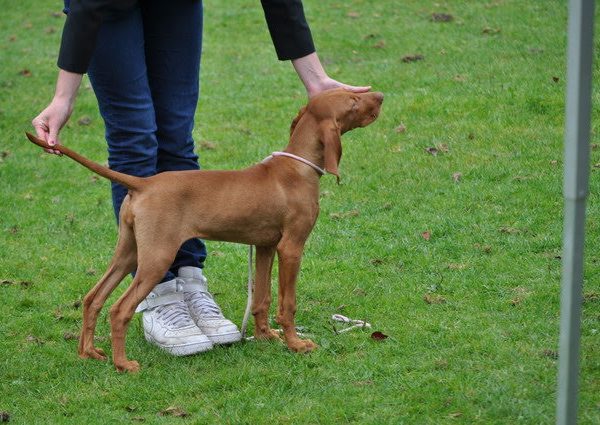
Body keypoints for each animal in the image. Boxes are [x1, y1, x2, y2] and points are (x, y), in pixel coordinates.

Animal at [25, 88, 382, 372]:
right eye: (353, 101)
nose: (378, 95)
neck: (297, 167)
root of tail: (143, 184)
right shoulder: (291, 247)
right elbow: (287, 304)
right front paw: (296, 344)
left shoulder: (266, 247)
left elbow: (263, 299)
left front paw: (266, 336)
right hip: (157, 257)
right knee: (119, 309)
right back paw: (123, 364)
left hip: (130, 252)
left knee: (93, 298)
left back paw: (88, 353)